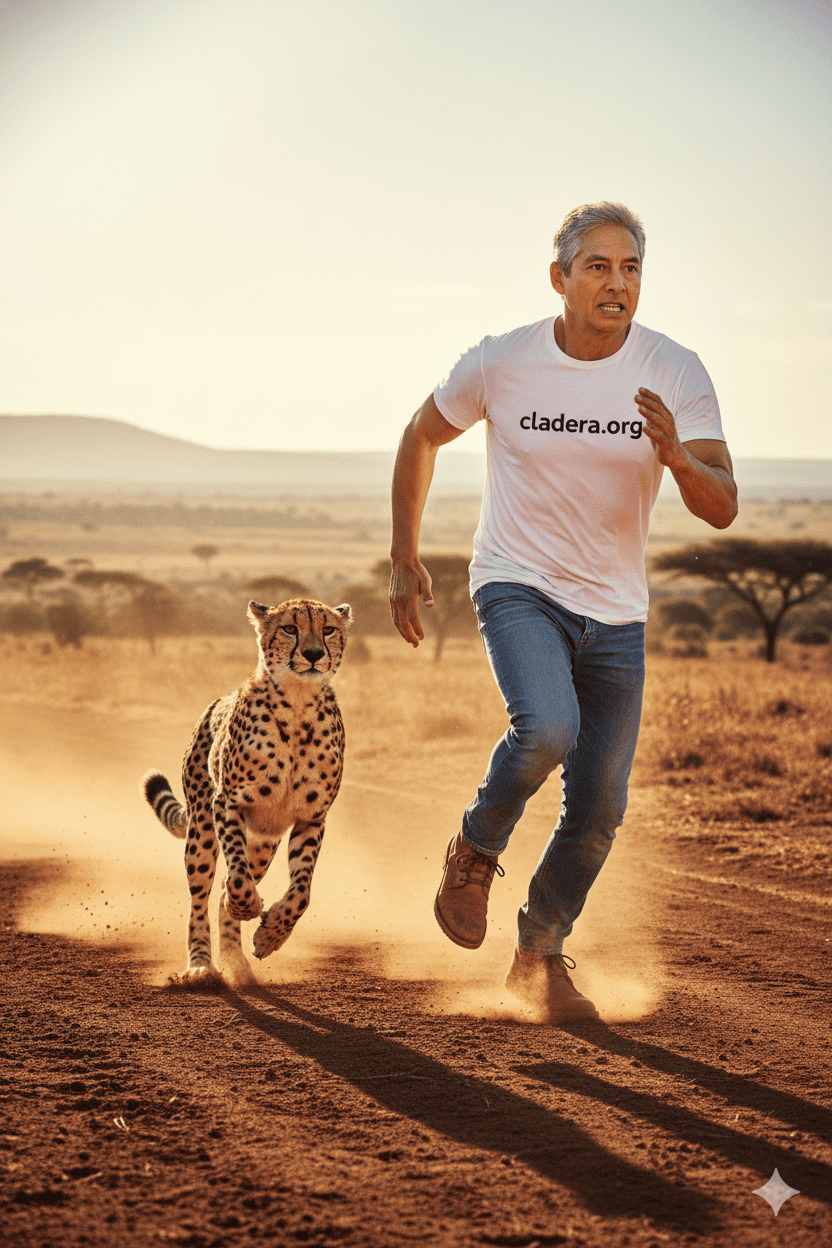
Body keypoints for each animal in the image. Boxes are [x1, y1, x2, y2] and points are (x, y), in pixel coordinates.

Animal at [141, 597, 351, 984]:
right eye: (289, 628)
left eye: (328, 629)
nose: (314, 654)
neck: (298, 704)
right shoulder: (228, 803)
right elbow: (237, 879)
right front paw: (249, 906)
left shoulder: (311, 818)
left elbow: (301, 891)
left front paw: (271, 934)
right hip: (202, 829)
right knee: (202, 895)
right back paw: (201, 965)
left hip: (264, 842)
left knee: (230, 887)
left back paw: (235, 962)